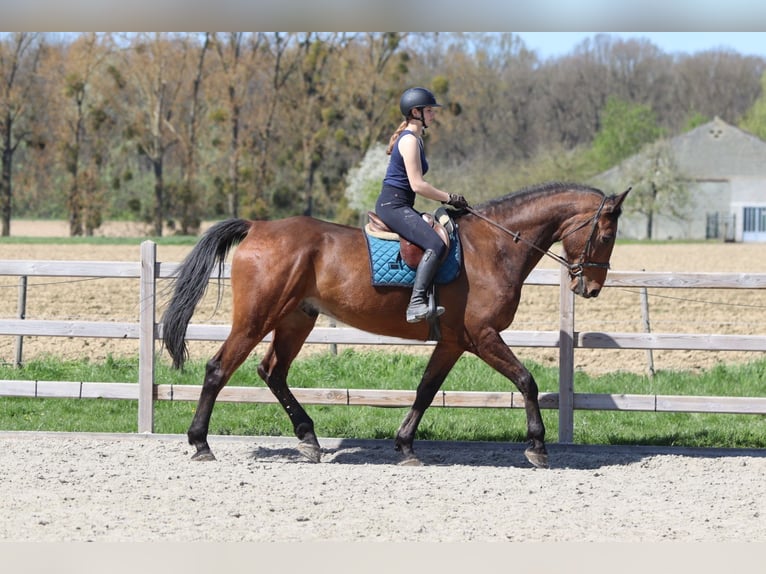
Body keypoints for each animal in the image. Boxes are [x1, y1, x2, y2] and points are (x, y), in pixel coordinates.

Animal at [161, 181, 630, 468]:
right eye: (607, 236)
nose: (590, 288)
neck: (493, 246)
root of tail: (257, 227)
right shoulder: (482, 336)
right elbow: (527, 381)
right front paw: (537, 446)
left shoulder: (454, 342)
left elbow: (426, 390)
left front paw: (405, 446)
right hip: (258, 317)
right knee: (219, 369)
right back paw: (200, 443)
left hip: (296, 318)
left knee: (272, 371)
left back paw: (308, 438)